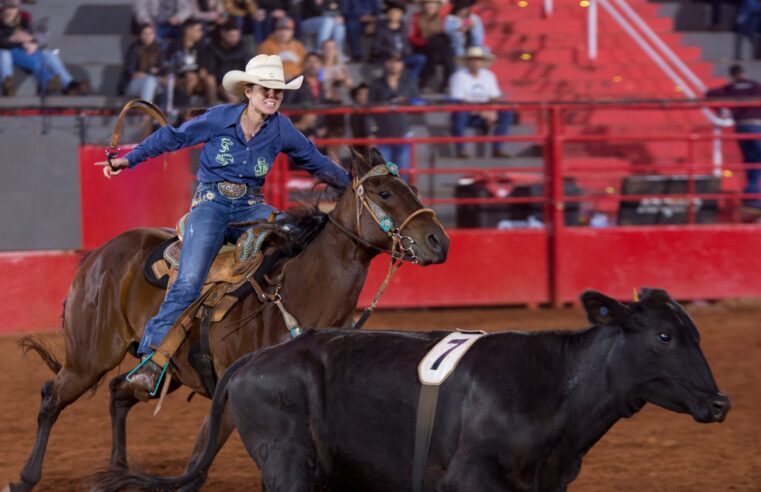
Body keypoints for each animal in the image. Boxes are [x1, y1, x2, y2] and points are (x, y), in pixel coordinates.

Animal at [8, 148, 448, 490]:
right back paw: (26, 477)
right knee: (51, 398)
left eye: (413, 190)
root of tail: (97, 255)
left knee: (119, 393)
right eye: (385, 192)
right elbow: (195, 471)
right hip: (89, 358)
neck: (297, 291)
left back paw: (116, 470)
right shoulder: (234, 405)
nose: (439, 241)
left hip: (153, 370)